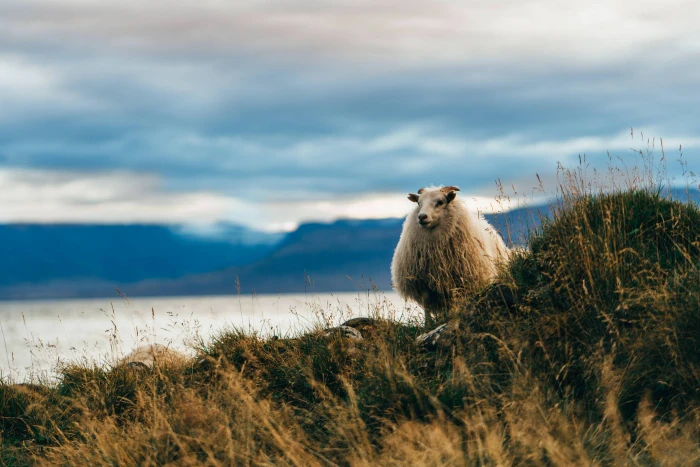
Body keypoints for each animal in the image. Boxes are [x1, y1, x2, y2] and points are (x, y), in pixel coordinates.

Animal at [391, 186, 510, 324]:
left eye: (440, 202)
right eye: (419, 203)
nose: (421, 217)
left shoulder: (457, 282)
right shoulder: (423, 284)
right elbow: (426, 308)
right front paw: (428, 324)